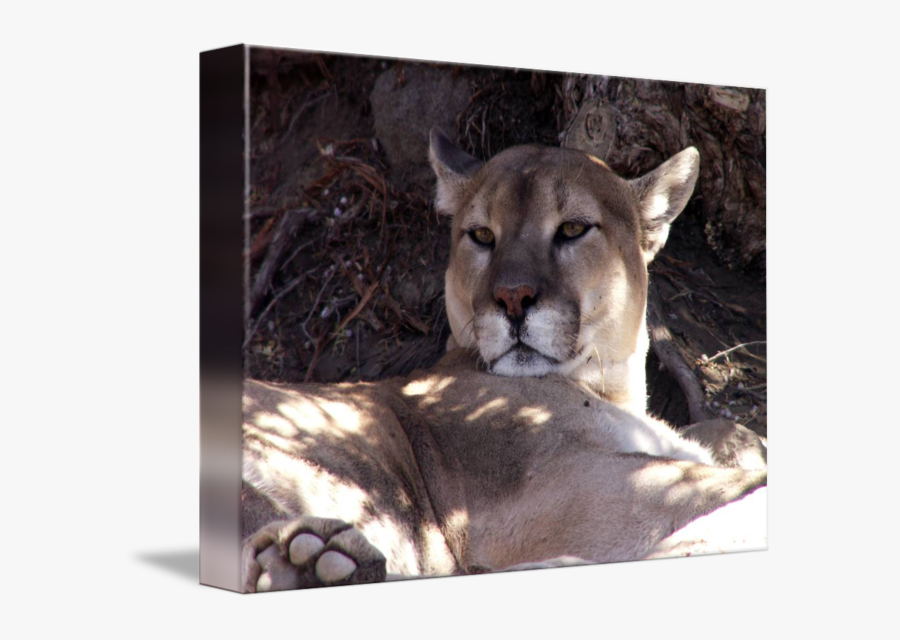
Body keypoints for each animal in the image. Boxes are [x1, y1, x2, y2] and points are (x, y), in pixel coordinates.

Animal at [239, 129, 767, 593]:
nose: (513, 298)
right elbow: (718, 483)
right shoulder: (568, 483)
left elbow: (718, 440)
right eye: (481, 235)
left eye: (572, 229)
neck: (609, 388)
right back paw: (306, 564)